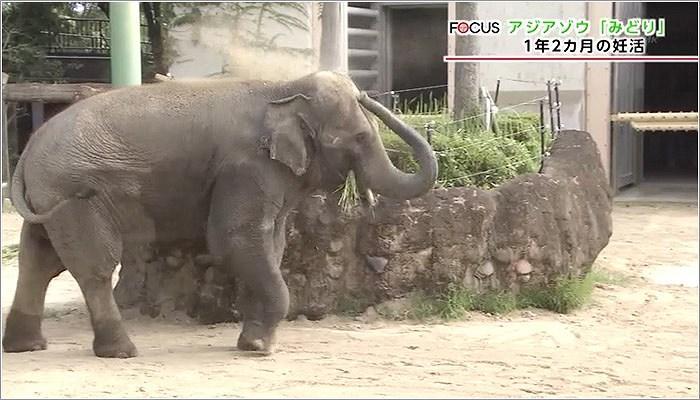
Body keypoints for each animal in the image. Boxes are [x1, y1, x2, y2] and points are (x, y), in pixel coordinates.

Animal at [1, 70, 438, 358]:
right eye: (360, 138)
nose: (367, 94)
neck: (282, 87)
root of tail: (29, 150)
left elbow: (269, 245)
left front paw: (252, 342)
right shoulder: (246, 168)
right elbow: (234, 240)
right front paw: (260, 350)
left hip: (47, 198)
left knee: (37, 261)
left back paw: (27, 347)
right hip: (75, 197)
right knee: (93, 267)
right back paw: (122, 351)